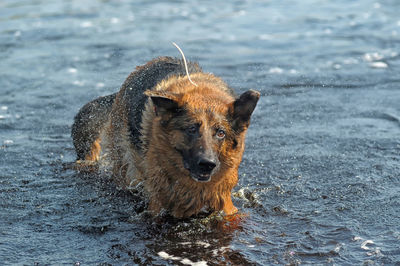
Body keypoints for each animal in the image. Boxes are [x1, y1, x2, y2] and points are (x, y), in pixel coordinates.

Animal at [71, 54, 260, 218]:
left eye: (221, 133)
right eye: (191, 129)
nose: (207, 164)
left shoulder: (225, 203)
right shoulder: (156, 203)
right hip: (127, 167)